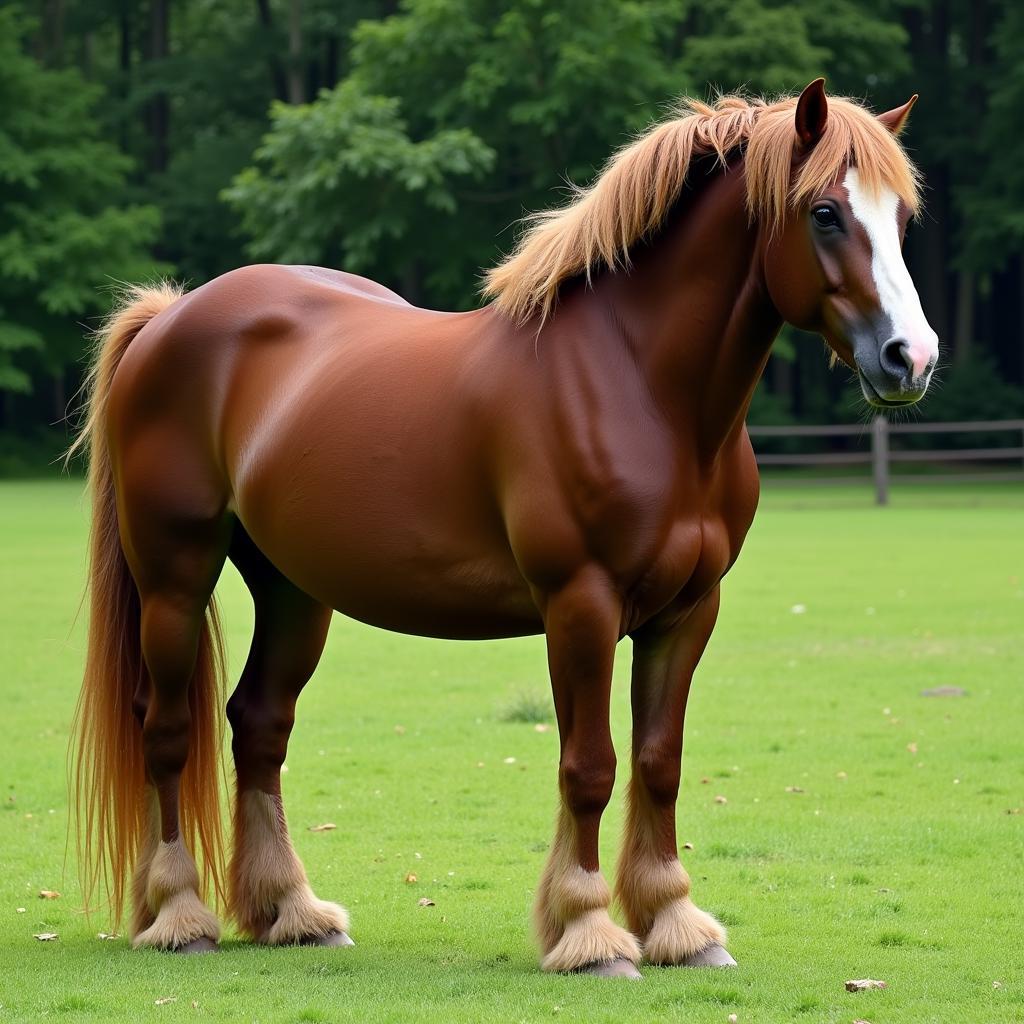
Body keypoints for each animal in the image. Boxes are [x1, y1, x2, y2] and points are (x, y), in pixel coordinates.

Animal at [70, 79, 937, 974]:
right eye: (825, 212)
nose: (911, 358)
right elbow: (589, 766)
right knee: (167, 731)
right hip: (175, 579)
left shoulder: (688, 612)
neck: (638, 384)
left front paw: (676, 923)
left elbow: (659, 762)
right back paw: (180, 914)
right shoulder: (581, 605)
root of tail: (171, 316)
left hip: (293, 592)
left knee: (259, 726)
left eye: (902, 217)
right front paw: (589, 931)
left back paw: (293, 911)